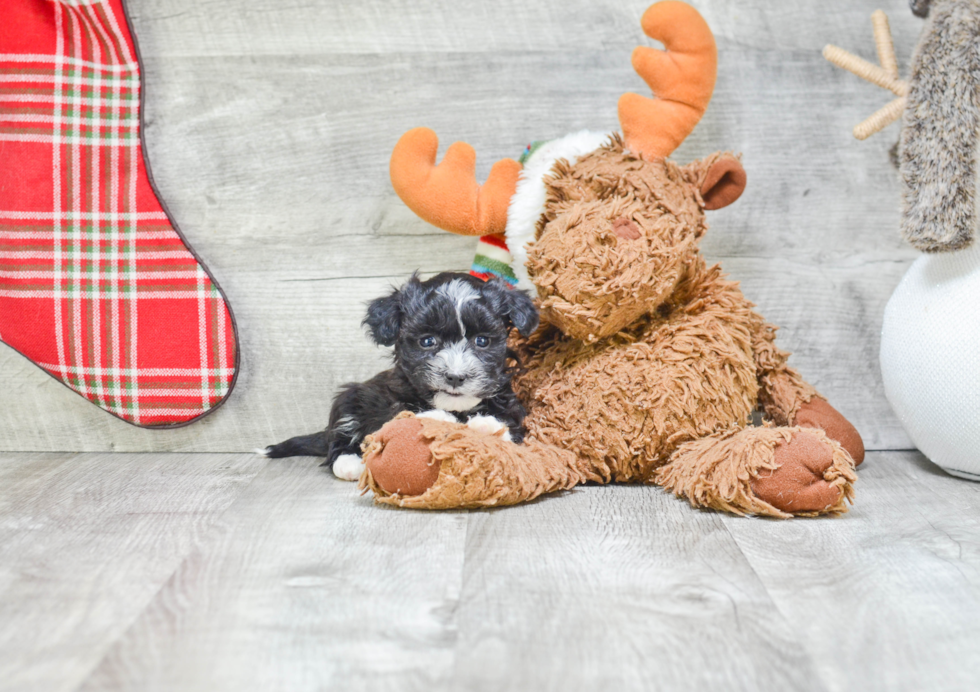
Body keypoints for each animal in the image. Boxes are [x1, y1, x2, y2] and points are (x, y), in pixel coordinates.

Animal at [258, 272, 536, 482]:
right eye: (427, 341)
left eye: (482, 341)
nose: (455, 377)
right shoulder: (386, 402)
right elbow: (404, 414)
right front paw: (441, 419)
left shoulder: (511, 404)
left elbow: (509, 427)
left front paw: (486, 424)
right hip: (350, 397)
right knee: (339, 436)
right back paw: (349, 463)